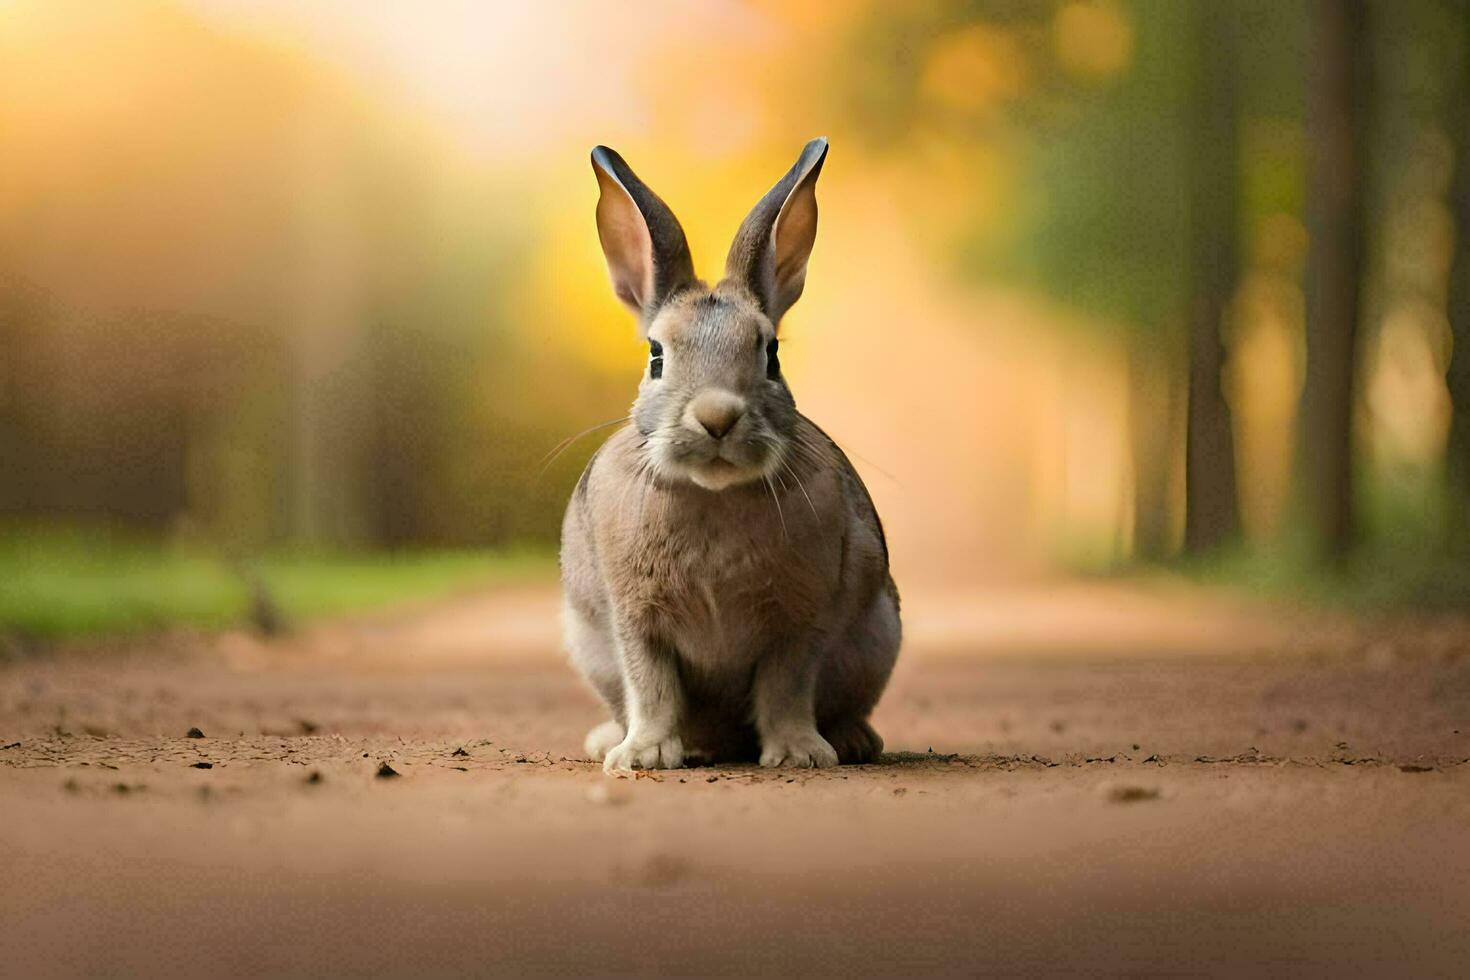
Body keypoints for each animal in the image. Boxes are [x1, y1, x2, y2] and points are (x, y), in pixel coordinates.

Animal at [561, 138, 899, 769]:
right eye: (656, 356)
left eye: (771, 354)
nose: (716, 416)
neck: (712, 495)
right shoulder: (636, 622)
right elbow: (652, 686)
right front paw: (643, 756)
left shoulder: (799, 624)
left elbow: (786, 689)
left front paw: (798, 754)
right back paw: (609, 742)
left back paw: (851, 741)